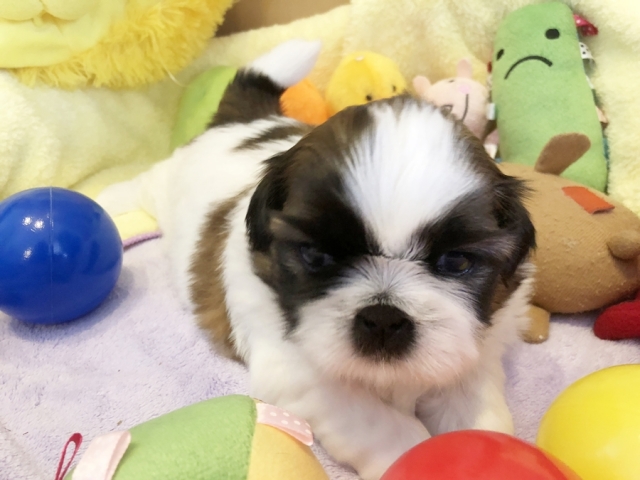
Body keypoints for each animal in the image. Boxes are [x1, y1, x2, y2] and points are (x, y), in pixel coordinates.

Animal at [98, 40, 536, 479]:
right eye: (317, 256)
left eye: (455, 262)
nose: (383, 317)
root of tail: (245, 121)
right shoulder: (292, 367)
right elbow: (374, 421)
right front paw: (406, 450)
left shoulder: (474, 353)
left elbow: (474, 408)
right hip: (164, 182)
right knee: (142, 184)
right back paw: (109, 202)